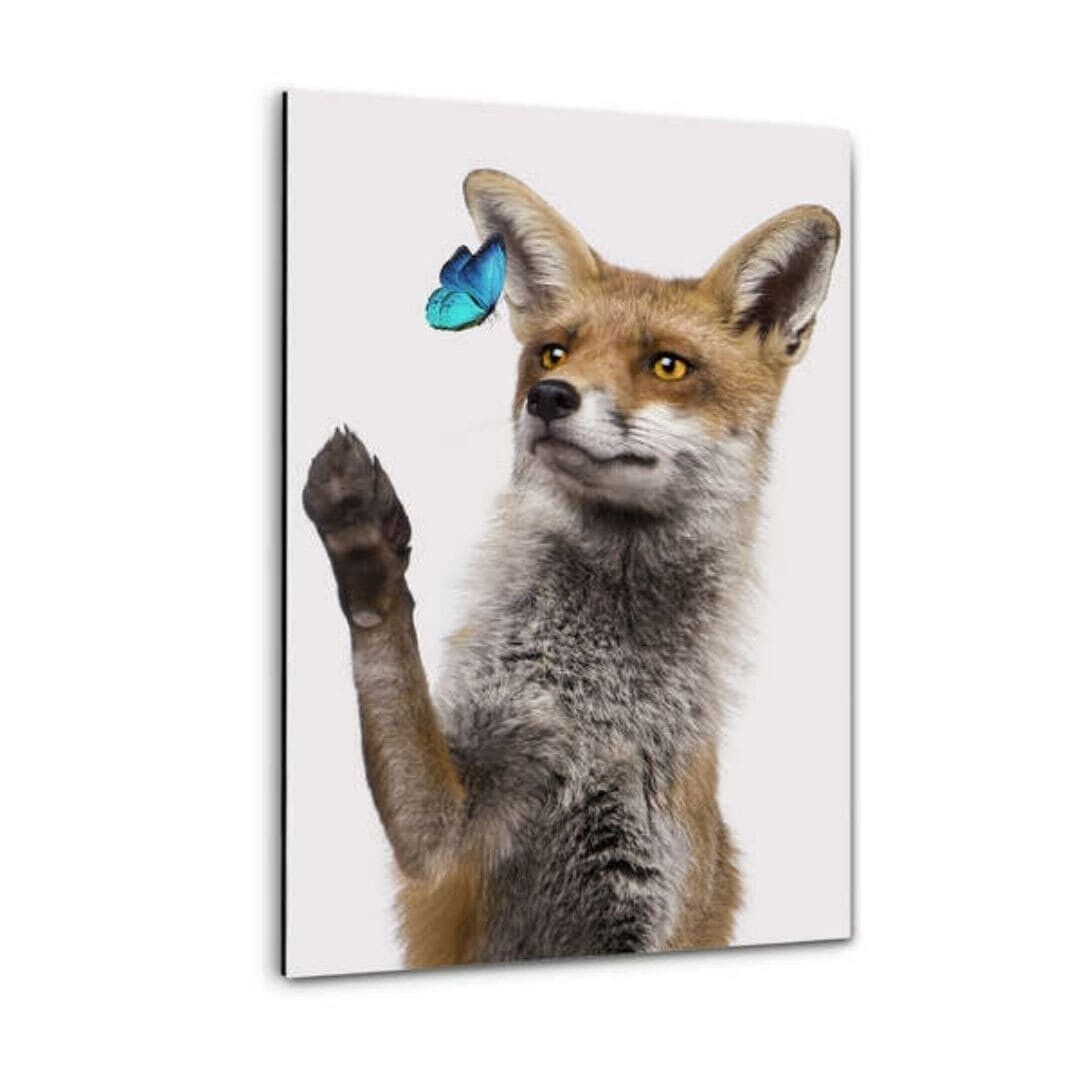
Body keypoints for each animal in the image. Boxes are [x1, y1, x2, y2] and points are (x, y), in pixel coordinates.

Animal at [302, 168, 840, 967]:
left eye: (667, 365)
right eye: (554, 353)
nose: (548, 398)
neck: (600, 710)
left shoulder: (651, 903)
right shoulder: (446, 834)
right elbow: (389, 658)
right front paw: (362, 542)